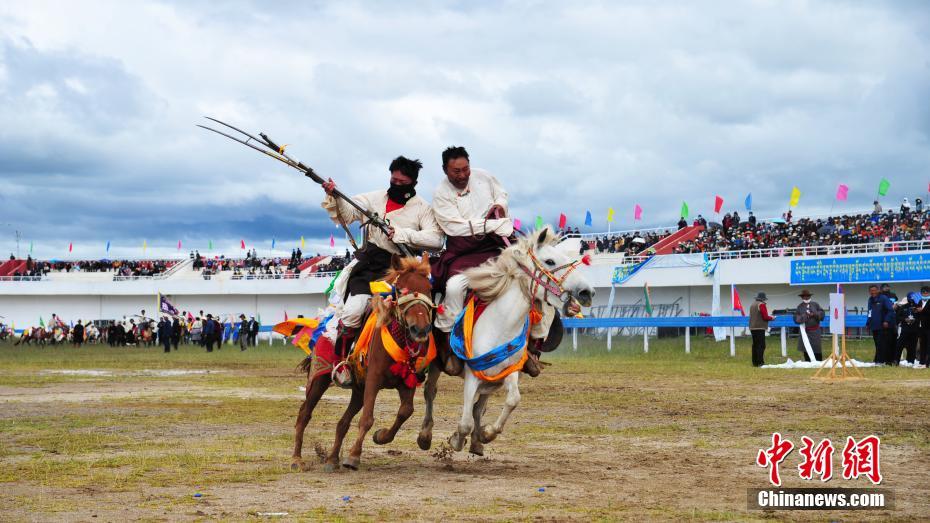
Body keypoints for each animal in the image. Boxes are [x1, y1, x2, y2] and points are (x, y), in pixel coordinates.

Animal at [290, 253, 437, 472]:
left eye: (428, 289)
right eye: (401, 289)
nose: (419, 329)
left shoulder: (406, 381)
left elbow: (405, 411)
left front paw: (381, 436)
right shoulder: (374, 380)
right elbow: (367, 419)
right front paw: (353, 456)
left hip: (358, 389)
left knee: (342, 422)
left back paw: (332, 459)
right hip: (319, 380)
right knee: (304, 414)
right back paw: (297, 459)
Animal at [416, 226, 594, 455]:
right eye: (550, 261)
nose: (586, 291)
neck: (500, 325)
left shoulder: (509, 372)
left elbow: (512, 400)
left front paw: (487, 433)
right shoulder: (472, 376)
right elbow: (464, 422)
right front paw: (456, 440)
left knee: (479, 406)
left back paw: (476, 442)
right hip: (438, 364)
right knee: (431, 391)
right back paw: (425, 435)